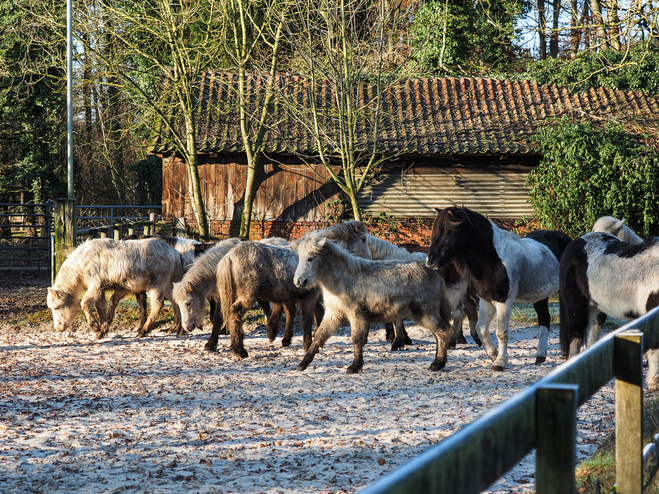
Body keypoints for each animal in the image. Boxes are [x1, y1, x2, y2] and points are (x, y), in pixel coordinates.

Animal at [45, 237, 183, 338]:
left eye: (57, 307)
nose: (58, 328)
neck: (82, 263)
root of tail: (173, 252)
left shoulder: (95, 286)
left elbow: (84, 303)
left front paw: (95, 326)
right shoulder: (100, 290)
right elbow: (102, 308)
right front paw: (102, 330)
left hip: (155, 286)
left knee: (157, 305)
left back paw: (144, 331)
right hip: (167, 285)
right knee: (176, 301)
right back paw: (176, 329)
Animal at [217, 222, 372, 356]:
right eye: (363, 239)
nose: (369, 258)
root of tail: (230, 256)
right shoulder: (308, 297)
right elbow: (306, 320)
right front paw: (308, 345)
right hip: (247, 297)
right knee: (235, 312)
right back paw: (240, 350)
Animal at [294, 237, 454, 372]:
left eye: (310, 258)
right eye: (300, 258)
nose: (299, 281)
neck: (342, 279)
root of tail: (435, 275)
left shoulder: (356, 315)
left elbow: (357, 339)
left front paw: (355, 366)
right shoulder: (334, 314)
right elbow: (319, 336)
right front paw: (302, 364)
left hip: (424, 313)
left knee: (443, 331)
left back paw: (438, 364)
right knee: (438, 335)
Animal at [428, 206, 572, 372]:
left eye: (449, 231)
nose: (430, 260)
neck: (494, 259)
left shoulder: (504, 302)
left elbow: (501, 332)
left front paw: (500, 362)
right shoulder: (486, 300)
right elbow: (481, 328)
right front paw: (493, 354)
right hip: (539, 296)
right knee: (544, 319)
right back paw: (540, 356)